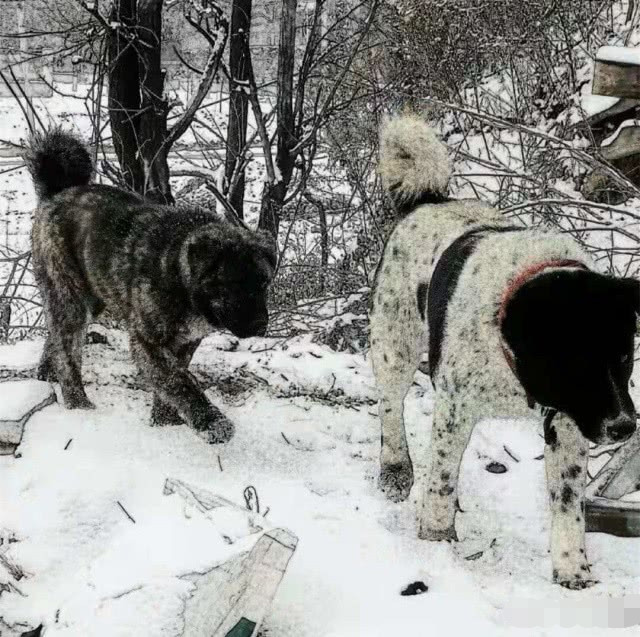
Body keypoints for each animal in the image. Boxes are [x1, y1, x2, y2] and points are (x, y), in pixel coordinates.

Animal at [370, 115, 640, 592]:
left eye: (625, 357)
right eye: (580, 362)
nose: (624, 427)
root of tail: (427, 200)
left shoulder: (567, 422)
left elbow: (568, 502)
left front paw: (572, 570)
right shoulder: (455, 410)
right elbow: (441, 480)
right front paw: (436, 537)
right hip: (394, 345)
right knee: (390, 408)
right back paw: (396, 467)